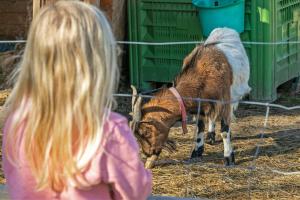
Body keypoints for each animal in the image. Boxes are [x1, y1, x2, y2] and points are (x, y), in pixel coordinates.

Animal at [131, 27, 251, 169]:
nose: (148, 153)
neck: (202, 74)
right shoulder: (201, 105)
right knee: (211, 118)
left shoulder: (224, 103)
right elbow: (199, 127)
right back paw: (210, 136)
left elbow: (225, 131)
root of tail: (225, 29)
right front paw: (196, 152)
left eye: (146, 132)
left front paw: (229, 158)